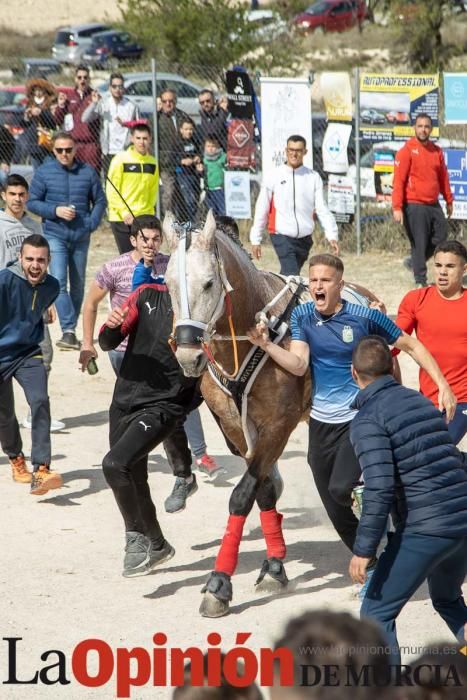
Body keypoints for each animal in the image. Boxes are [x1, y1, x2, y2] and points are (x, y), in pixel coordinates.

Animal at [163, 212, 378, 616]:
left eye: (209, 282)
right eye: (167, 284)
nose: (187, 355)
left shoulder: (278, 424)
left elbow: (242, 495)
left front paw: (219, 583)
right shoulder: (236, 428)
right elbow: (263, 491)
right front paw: (275, 565)